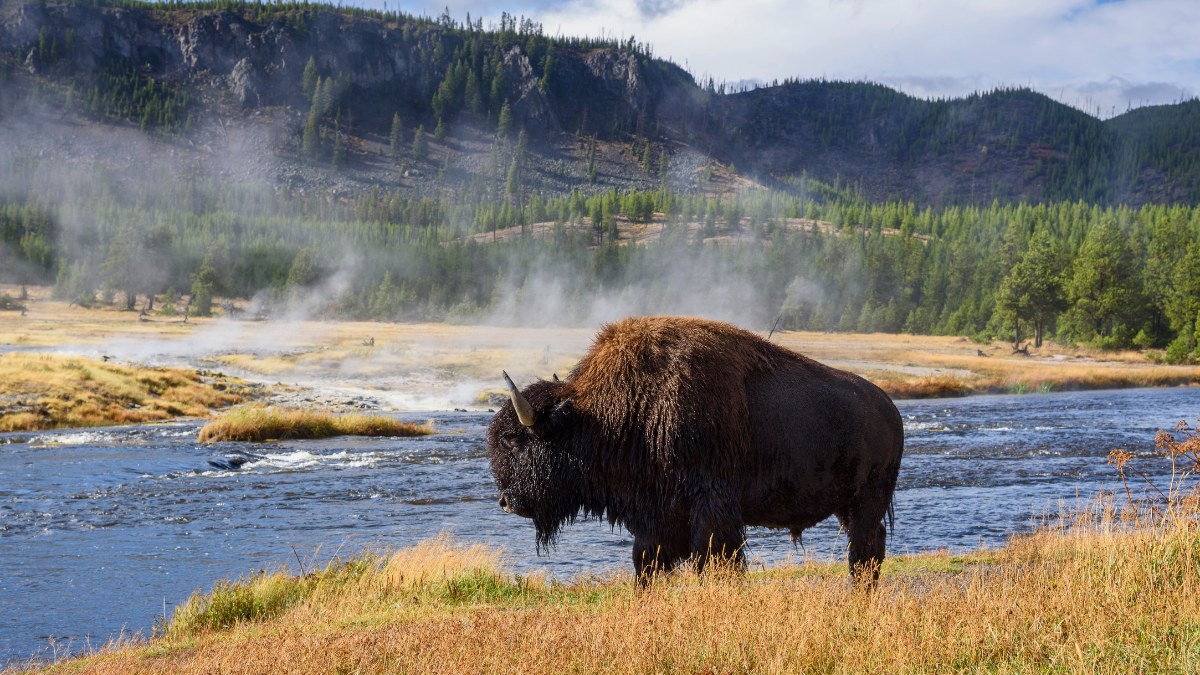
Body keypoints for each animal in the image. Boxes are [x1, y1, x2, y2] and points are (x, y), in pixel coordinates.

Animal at [487, 316, 904, 585]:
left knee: (865, 549)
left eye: (516, 441)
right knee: (869, 547)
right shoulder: (656, 519)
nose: (506, 502)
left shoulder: (711, 511)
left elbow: (716, 562)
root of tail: (890, 409)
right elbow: (646, 565)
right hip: (846, 504)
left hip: (868, 499)